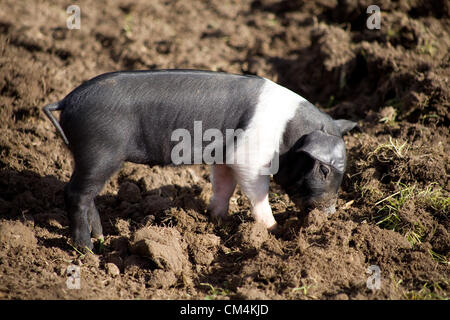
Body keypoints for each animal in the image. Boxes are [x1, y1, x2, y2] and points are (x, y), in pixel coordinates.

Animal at [44, 70, 356, 250]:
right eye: (324, 170)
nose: (329, 214)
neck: (289, 133)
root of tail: (66, 101)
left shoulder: (226, 156)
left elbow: (223, 187)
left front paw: (216, 219)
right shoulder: (249, 158)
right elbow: (258, 195)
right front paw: (273, 231)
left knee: (88, 196)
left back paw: (100, 239)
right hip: (99, 151)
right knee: (75, 194)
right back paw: (86, 250)